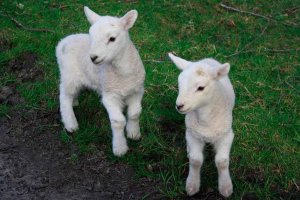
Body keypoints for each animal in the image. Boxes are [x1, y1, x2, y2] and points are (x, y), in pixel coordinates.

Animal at [56, 6, 146, 157]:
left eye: (112, 38)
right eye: (91, 36)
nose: (93, 57)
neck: (123, 73)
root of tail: (64, 40)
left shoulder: (137, 91)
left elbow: (135, 113)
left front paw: (134, 133)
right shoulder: (109, 95)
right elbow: (118, 121)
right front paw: (119, 148)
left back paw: (75, 102)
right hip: (69, 75)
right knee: (64, 97)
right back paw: (71, 124)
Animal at [169, 52, 234, 197]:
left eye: (201, 88)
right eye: (179, 83)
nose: (179, 106)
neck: (205, 121)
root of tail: (206, 59)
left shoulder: (227, 135)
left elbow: (222, 161)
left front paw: (225, 187)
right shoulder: (192, 134)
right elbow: (195, 160)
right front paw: (192, 185)